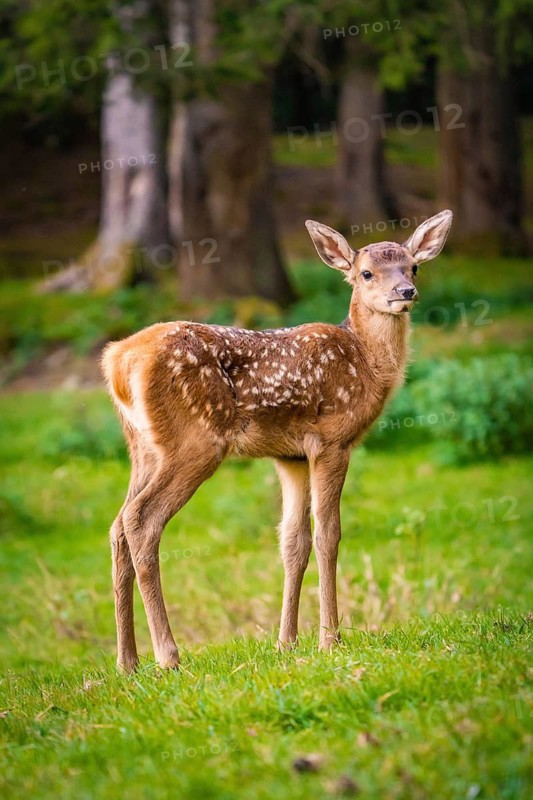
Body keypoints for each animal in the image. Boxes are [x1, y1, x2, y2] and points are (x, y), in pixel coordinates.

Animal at [101, 210, 453, 671]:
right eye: (366, 273)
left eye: (413, 267)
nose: (405, 292)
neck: (366, 362)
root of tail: (118, 361)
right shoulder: (331, 441)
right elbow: (328, 535)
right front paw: (330, 640)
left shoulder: (291, 456)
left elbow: (292, 541)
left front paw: (286, 642)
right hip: (195, 441)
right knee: (141, 520)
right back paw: (168, 656)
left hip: (142, 448)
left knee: (117, 525)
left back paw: (128, 662)